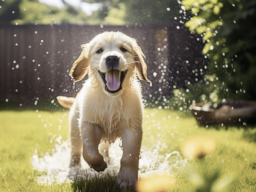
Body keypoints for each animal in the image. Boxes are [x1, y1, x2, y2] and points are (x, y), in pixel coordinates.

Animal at [56, 31, 150, 189]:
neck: (111, 98)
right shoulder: (89, 124)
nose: (112, 58)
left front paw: (127, 178)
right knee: (76, 152)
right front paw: (98, 165)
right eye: (99, 50)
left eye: (123, 49)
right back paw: (74, 170)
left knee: (104, 149)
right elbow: (89, 152)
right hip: (74, 131)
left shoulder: (133, 128)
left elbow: (130, 156)